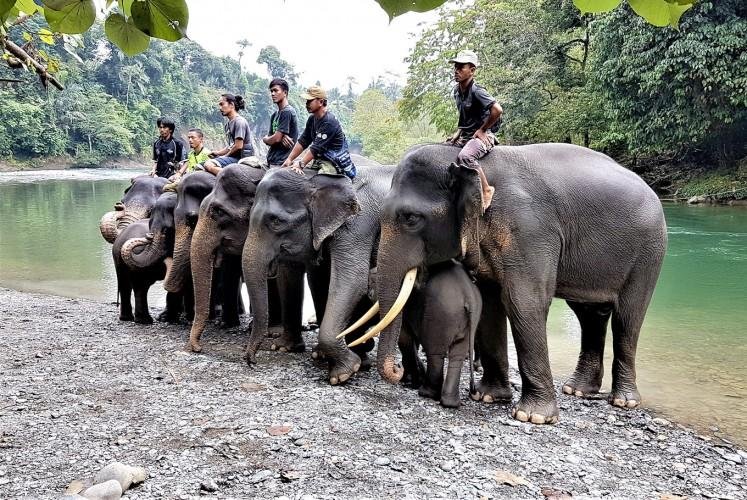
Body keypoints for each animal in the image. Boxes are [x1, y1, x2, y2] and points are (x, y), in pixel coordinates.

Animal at [242, 161, 425, 387]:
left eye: (276, 221)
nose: (251, 361)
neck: (316, 178)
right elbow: (316, 278)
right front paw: (304, 352)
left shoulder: (358, 223)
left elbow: (352, 279)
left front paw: (343, 373)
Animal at [353, 143, 667, 424]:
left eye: (411, 218)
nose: (397, 372)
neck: (469, 165)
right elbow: (490, 302)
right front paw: (489, 397)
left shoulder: (529, 230)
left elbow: (523, 302)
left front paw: (533, 417)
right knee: (590, 314)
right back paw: (577, 390)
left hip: (649, 252)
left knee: (627, 318)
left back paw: (623, 401)